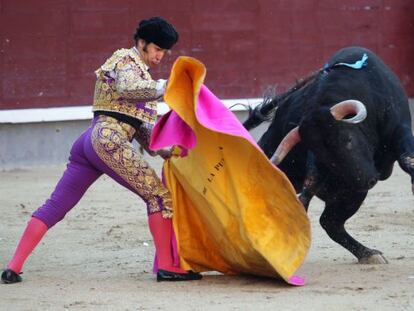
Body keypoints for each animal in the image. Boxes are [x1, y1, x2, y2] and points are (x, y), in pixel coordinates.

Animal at [243, 46, 414, 264]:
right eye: (323, 156)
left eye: (348, 139)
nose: (367, 180)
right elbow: (310, 185)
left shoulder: (401, 128)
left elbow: (407, 159)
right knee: (328, 220)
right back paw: (369, 254)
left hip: (349, 192)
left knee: (329, 221)